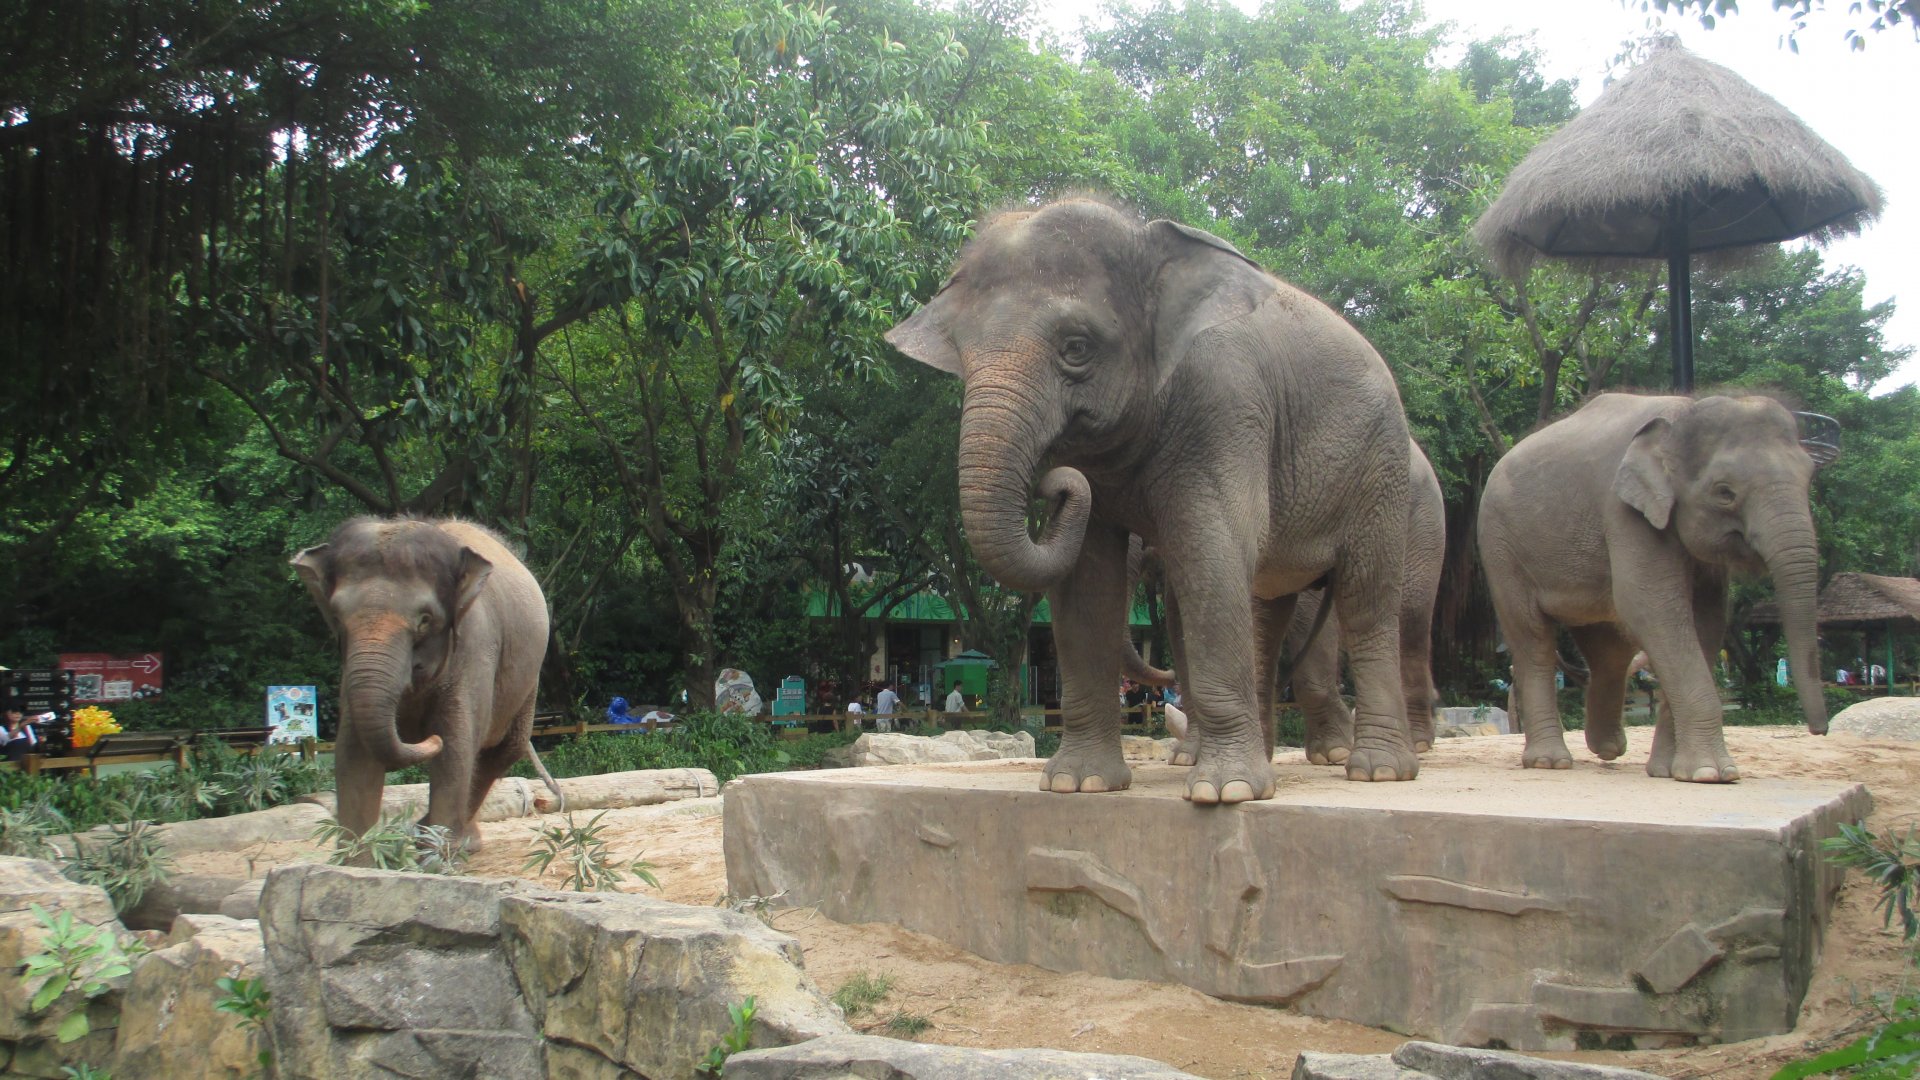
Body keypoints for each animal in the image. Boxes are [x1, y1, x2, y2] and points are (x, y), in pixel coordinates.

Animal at [292, 517, 563, 849]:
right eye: (337, 616)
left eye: (425, 620)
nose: (426, 739)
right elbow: (352, 754)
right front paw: (358, 857)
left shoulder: (475, 644)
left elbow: (455, 747)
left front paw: (433, 855)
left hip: (527, 680)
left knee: (501, 750)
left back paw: (450, 840)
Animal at [885, 197, 1418, 803]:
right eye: (962, 353)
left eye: (1076, 348)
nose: (1053, 482)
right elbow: (1088, 582)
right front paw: (1080, 784)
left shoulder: (1224, 404)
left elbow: (1209, 551)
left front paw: (1225, 793)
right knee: (1269, 607)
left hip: (1382, 469)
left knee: (1368, 597)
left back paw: (1375, 770)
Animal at [1477, 393, 1829, 782]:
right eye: (1724, 493)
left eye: (1809, 477)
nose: (1819, 731)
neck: (1683, 414)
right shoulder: (1625, 512)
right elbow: (1651, 607)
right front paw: (1713, 773)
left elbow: (1707, 621)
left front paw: (1670, 771)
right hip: (1502, 549)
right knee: (1533, 636)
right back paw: (1550, 762)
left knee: (1608, 646)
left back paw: (1608, 749)